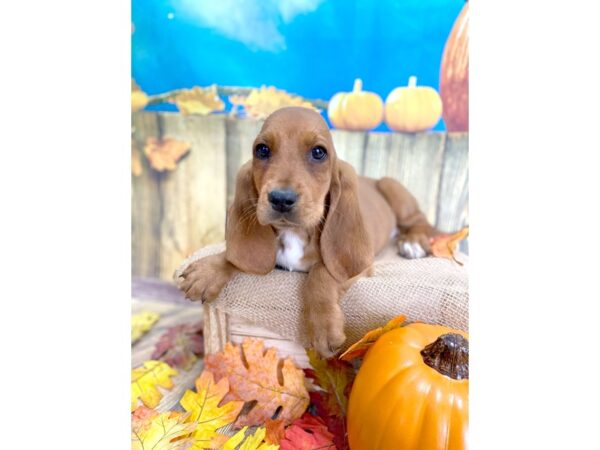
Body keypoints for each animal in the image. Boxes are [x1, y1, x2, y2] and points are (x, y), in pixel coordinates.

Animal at [177, 107, 436, 356]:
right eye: (262, 150)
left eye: (319, 152)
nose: (281, 199)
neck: (295, 233)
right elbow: (237, 256)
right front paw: (209, 270)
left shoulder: (359, 267)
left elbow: (320, 274)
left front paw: (324, 328)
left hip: (394, 189)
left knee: (420, 221)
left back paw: (413, 242)